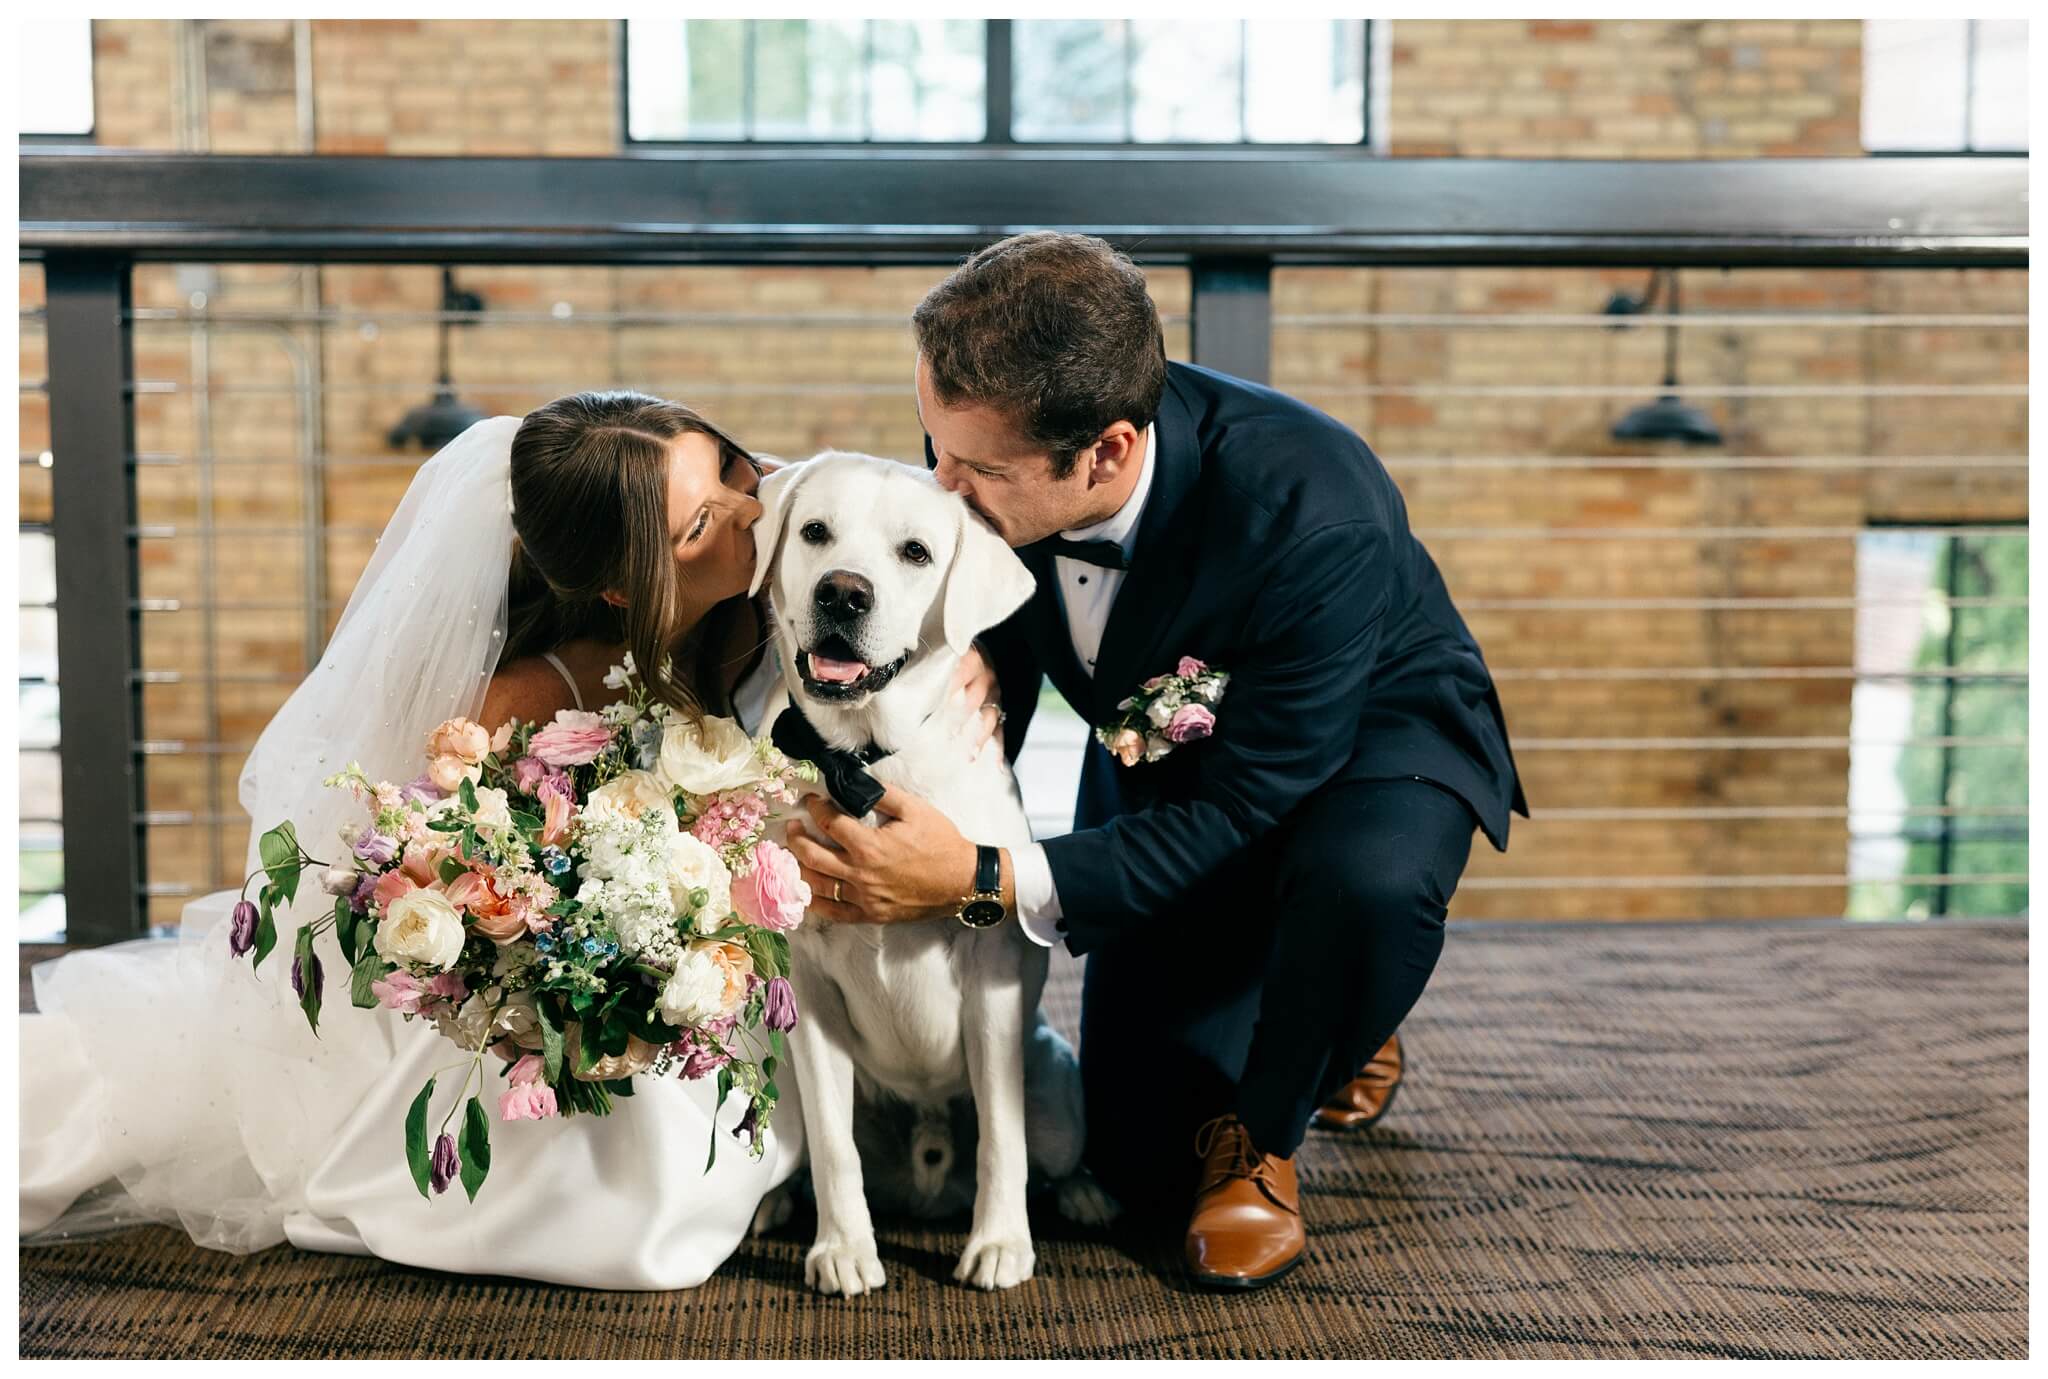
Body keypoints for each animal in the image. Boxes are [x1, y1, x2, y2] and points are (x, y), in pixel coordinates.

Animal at [745, 450, 1114, 1294]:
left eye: (915, 552)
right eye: (815, 532)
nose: (843, 592)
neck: (866, 761)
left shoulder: (994, 979)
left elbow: (1003, 1138)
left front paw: (1001, 1243)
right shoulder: (809, 985)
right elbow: (834, 1146)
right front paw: (844, 1248)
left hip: (1055, 1087)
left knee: (1047, 1151)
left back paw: (1083, 1195)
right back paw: (777, 1198)